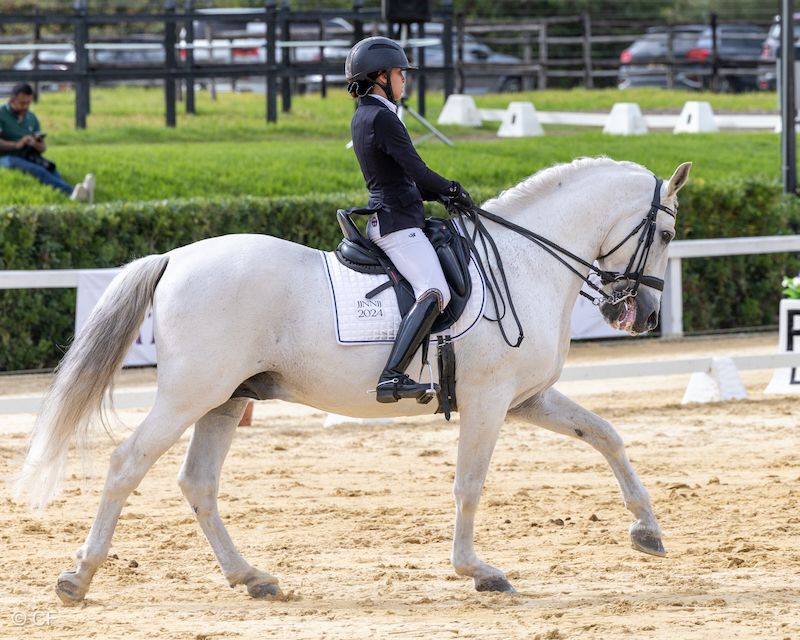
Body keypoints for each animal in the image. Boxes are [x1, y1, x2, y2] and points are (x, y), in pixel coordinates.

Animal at [14, 157, 691, 603]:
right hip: (191, 395)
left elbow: (605, 436)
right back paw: (77, 577)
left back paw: (251, 577)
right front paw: (477, 570)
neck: (527, 263)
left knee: (198, 482)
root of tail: (175, 257)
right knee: (128, 464)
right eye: (665, 233)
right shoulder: (490, 400)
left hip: (227, 399)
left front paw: (647, 531)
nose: (641, 315)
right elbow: (469, 484)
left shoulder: (527, 398)